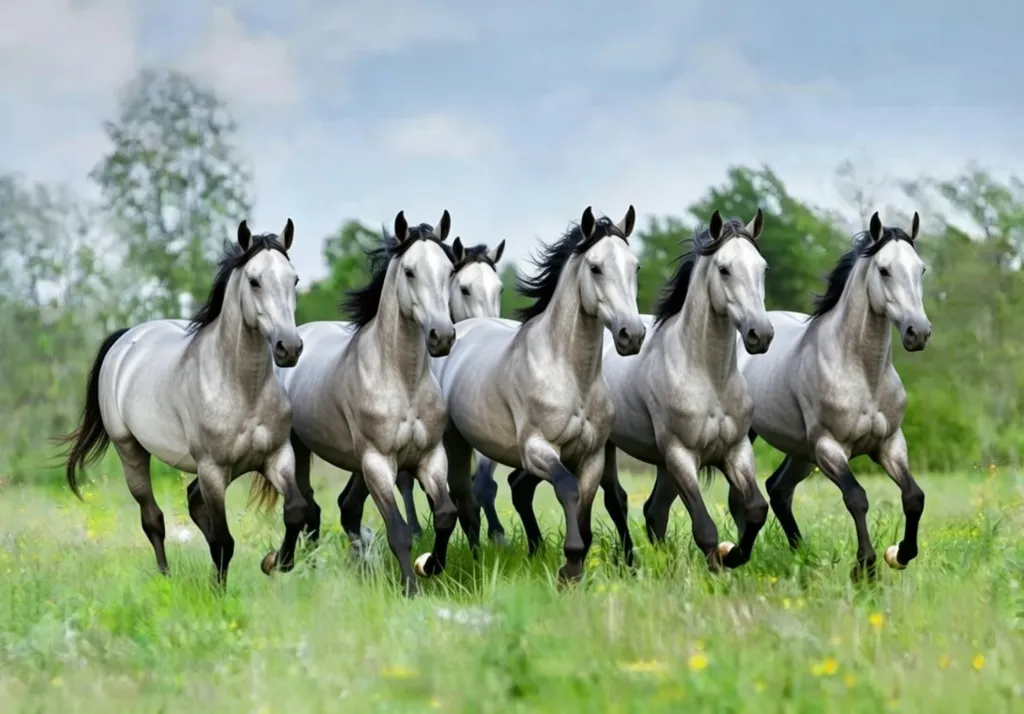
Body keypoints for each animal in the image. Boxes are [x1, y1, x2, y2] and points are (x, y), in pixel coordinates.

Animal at [58, 219, 306, 587]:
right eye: (254, 280)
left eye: (295, 279)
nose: (288, 347)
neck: (242, 388)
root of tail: (126, 338)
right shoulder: (212, 469)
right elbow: (224, 541)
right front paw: (219, 591)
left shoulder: (277, 457)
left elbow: (295, 511)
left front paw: (276, 561)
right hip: (131, 451)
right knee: (153, 518)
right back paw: (165, 578)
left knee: (193, 503)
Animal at [261, 211, 459, 596]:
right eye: (410, 271)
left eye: (448, 270)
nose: (441, 337)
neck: (401, 381)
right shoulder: (378, 462)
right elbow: (398, 530)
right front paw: (410, 590)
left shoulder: (431, 457)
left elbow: (446, 514)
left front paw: (431, 565)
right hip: (298, 448)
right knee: (307, 506)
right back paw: (287, 562)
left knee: (342, 508)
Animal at [394, 238, 506, 538]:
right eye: (465, 289)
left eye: (499, 288)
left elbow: (482, 484)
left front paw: (496, 533)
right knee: (406, 483)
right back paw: (415, 531)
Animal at [420, 205, 645, 585]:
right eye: (595, 267)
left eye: (635, 266)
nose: (633, 334)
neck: (569, 374)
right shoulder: (537, 449)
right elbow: (567, 489)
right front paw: (569, 564)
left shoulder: (593, 456)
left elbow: (587, 504)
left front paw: (576, 567)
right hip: (454, 443)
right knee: (462, 498)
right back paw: (445, 564)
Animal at [649, 211, 930, 581]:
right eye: (884, 270)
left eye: (920, 269)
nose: (918, 332)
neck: (859, 372)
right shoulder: (829, 447)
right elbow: (857, 497)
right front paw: (865, 567)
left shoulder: (890, 444)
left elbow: (914, 496)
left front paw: (900, 554)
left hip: (797, 451)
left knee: (776, 490)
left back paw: (796, 554)